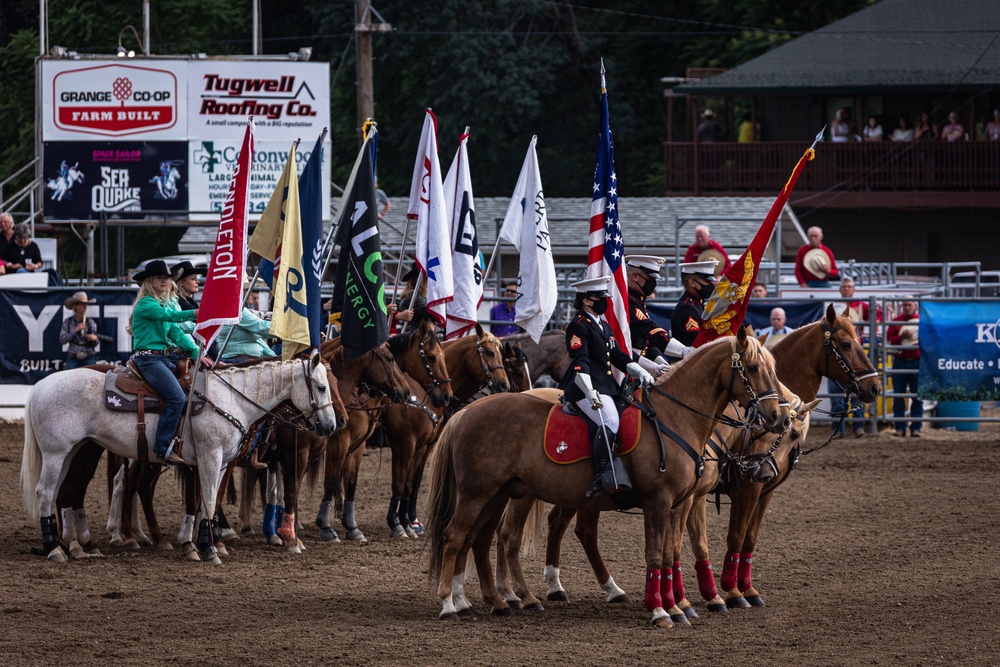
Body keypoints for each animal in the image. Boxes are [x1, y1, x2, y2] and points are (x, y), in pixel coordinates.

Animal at [22, 352, 344, 568]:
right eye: (322, 387)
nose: (332, 425)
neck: (231, 399)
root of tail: (39, 387)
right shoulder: (211, 456)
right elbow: (209, 500)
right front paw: (208, 548)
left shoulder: (221, 463)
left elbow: (206, 502)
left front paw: (204, 544)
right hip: (58, 452)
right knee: (46, 492)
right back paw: (55, 548)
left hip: (73, 451)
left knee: (61, 492)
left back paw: (74, 545)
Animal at [426, 332, 784, 628]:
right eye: (753, 367)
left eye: (773, 367)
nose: (776, 416)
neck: (673, 418)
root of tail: (466, 412)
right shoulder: (659, 502)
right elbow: (655, 555)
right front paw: (660, 610)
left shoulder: (677, 505)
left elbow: (671, 555)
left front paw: (677, 606)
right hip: (477, 494)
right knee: (457, 537)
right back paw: (450, 604)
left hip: (498, 494)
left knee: (479, 539)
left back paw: (492, 601)